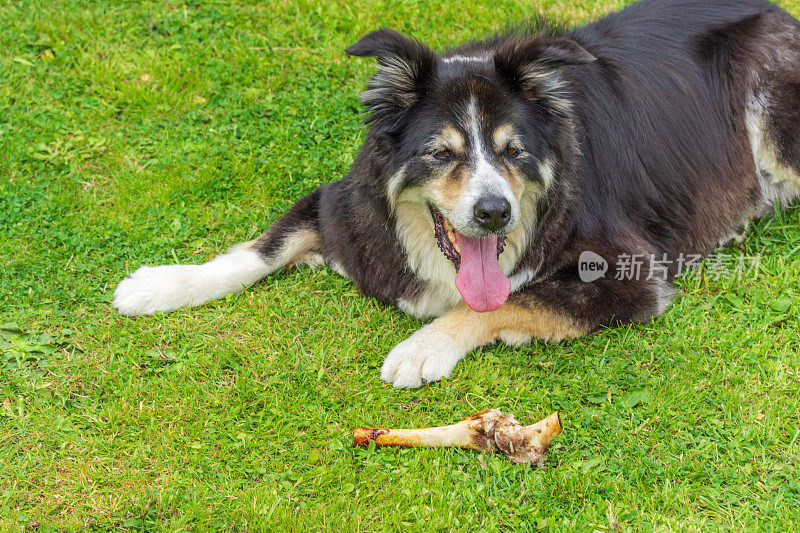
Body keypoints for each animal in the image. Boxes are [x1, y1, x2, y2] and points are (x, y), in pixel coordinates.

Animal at [112, 2, 800, 388]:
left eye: (514, 152)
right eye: (441, 154)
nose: (495, 213)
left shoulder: (632, 274)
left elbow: (502, 301)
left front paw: (421, 348)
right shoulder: (343, 207)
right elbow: (258, 250)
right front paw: (161, 285)